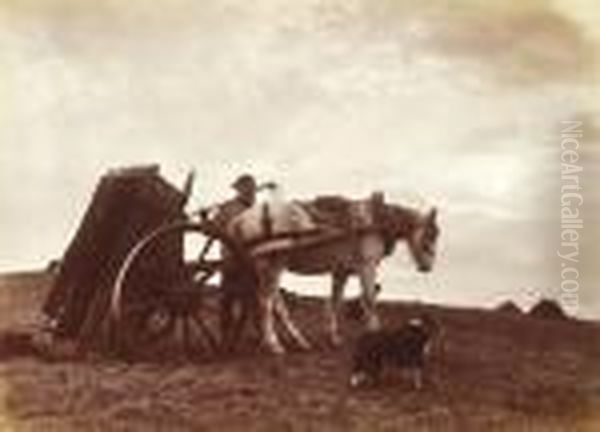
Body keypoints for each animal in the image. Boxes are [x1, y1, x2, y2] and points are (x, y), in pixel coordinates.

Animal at [227, 192, 438, 354]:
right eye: (432, 234)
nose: (427, 267)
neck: (374, 221)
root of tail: (243, 218)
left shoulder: (341, 271)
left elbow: (336, 301)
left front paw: (334, 337)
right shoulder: (366, 266)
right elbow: (369, 299)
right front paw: (375, 333)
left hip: (266, 269)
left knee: (275, 303)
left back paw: (297, 340)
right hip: (273, 265)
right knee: (266, 302)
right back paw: (273, 343)